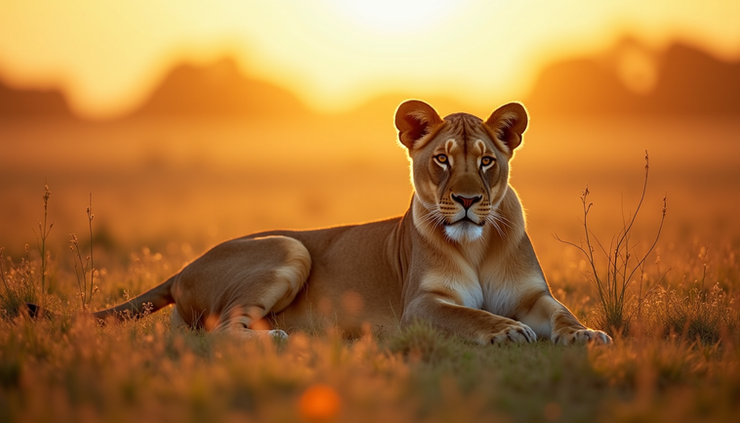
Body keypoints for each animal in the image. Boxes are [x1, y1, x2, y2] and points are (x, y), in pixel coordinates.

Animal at [91, 100, 612, 345]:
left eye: (486, 162)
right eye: (442, 159)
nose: (466, 200)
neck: (476, 244)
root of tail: (181, 269)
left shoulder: (532, 296)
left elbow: (562, 313)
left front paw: (587, 334)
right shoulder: (420, 305)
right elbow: (469, 313)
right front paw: (506, 331)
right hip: (290, 247)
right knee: (218, 332)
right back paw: (279, 338)